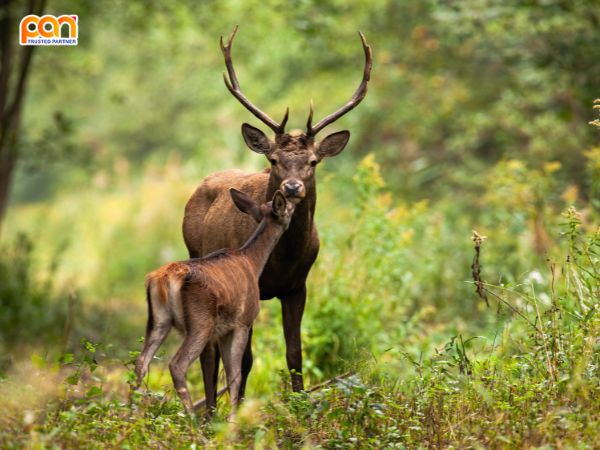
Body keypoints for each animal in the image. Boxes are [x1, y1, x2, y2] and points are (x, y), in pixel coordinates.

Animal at [135, 189, 296, 414]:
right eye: (287, 207)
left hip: (158, 319)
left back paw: (133, 412)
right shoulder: (242, 322)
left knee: (141, 361)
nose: (295, 205)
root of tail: (164, 279)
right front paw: (233, 418)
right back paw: (191, 417)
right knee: (177, 365)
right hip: (200, 321)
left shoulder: (222, 330)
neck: (253, 263)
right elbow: (235, 374)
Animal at [180, 25, 372, 404]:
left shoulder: (298, 286)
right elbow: (245, 359)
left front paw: (299, 404)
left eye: (313, 161)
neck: (283, 258)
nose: (293, 187)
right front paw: (237, 409)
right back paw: (209, 409)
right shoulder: (248, 287)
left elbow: (294, 354)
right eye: (273, 160)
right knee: (209, 352)